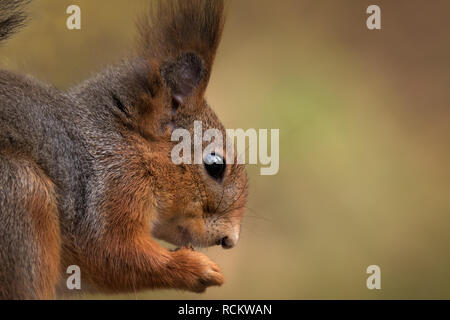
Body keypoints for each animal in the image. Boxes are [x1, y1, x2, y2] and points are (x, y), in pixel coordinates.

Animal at [0, 0, 246, 300]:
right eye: (215, 165)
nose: (230, 240)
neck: (128, 143)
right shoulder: (108, 188)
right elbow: (109, 252)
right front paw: (198, 268)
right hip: (22, 198)